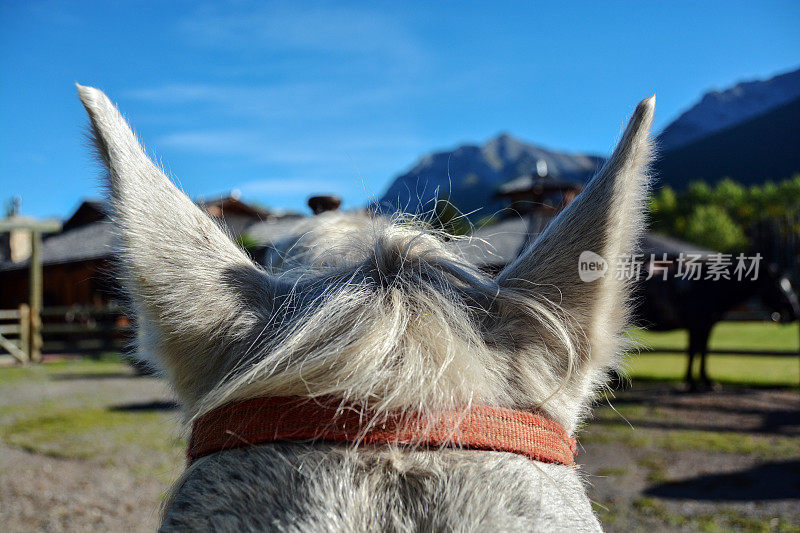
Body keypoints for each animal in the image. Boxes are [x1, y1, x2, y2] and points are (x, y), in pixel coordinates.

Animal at [636, 260, 796, 388]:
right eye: (778, 285)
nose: (794, 312)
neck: (708, 287)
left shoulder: (707, 326)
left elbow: (702, 351)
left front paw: (706, 381)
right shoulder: (695, 326)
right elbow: (693, 351)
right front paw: (691, 383)